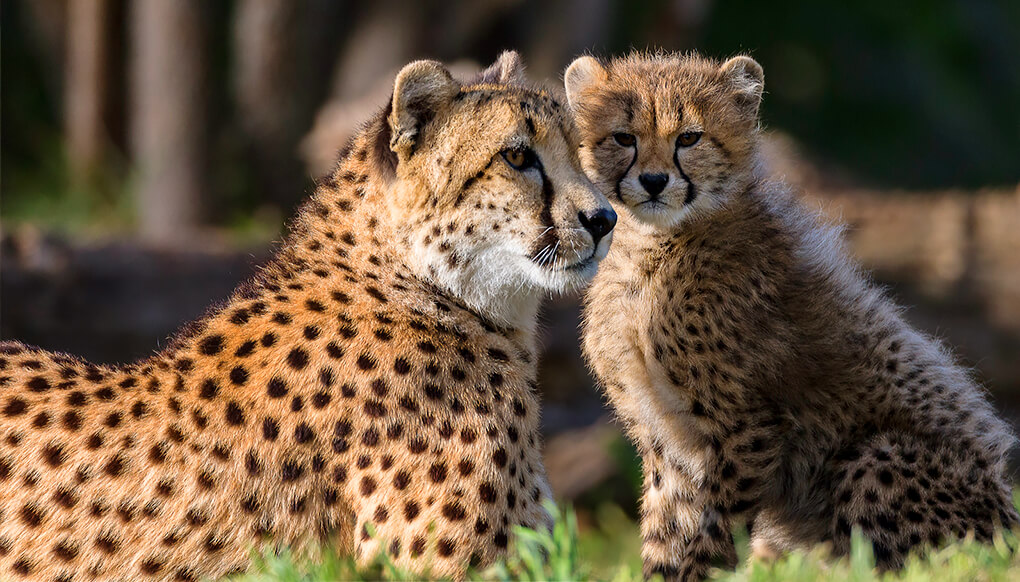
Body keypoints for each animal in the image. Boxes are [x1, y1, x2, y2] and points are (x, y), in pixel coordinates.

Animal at [567, 52, 1020, 578]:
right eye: (624, 137)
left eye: (689, 137)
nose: (655, 181)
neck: (648, 248)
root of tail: (1007, 527)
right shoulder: (666, 441)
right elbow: (668, 531)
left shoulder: (745, 430)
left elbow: (708, 529)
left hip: (876, 455)